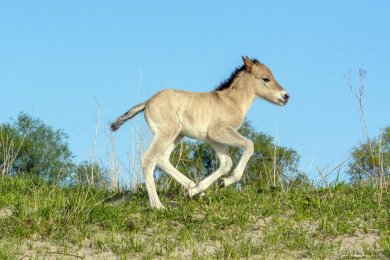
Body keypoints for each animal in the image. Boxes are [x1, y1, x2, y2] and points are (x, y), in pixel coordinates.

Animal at [111, 57, 288, 209]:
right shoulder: (220, 132)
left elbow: (226, 163)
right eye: (266, 78)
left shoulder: (214, 140)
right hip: (166, 134)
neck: (230, 102)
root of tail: (147, 103)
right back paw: (158, 206)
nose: (286, 96)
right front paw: (225, 182)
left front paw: (215, 184)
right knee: (148, 160)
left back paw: (194, 192)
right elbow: (249, 145)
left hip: (177, 135)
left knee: (162, 160)